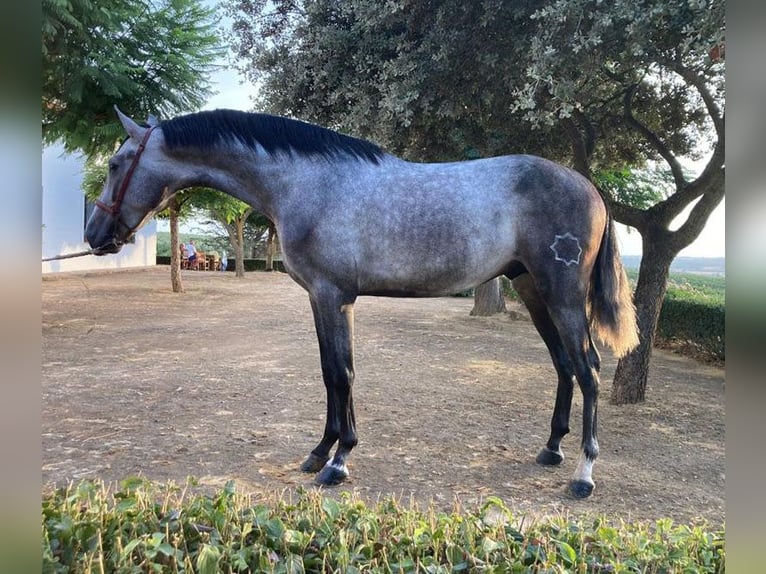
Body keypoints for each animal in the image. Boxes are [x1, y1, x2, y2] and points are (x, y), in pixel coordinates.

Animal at [85, 109, 640, 500]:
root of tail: (589, 187)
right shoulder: (323, 298)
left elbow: (341, 373)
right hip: (532, 290)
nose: (94, 236)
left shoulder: (333, 296)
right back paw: (551, 450)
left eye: (114, 164)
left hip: (562, 294)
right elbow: (332, 371)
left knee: (588, 369)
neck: (307, 183)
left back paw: (584, 474)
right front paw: (320, 452)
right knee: (564, 366)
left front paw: (338, 461)